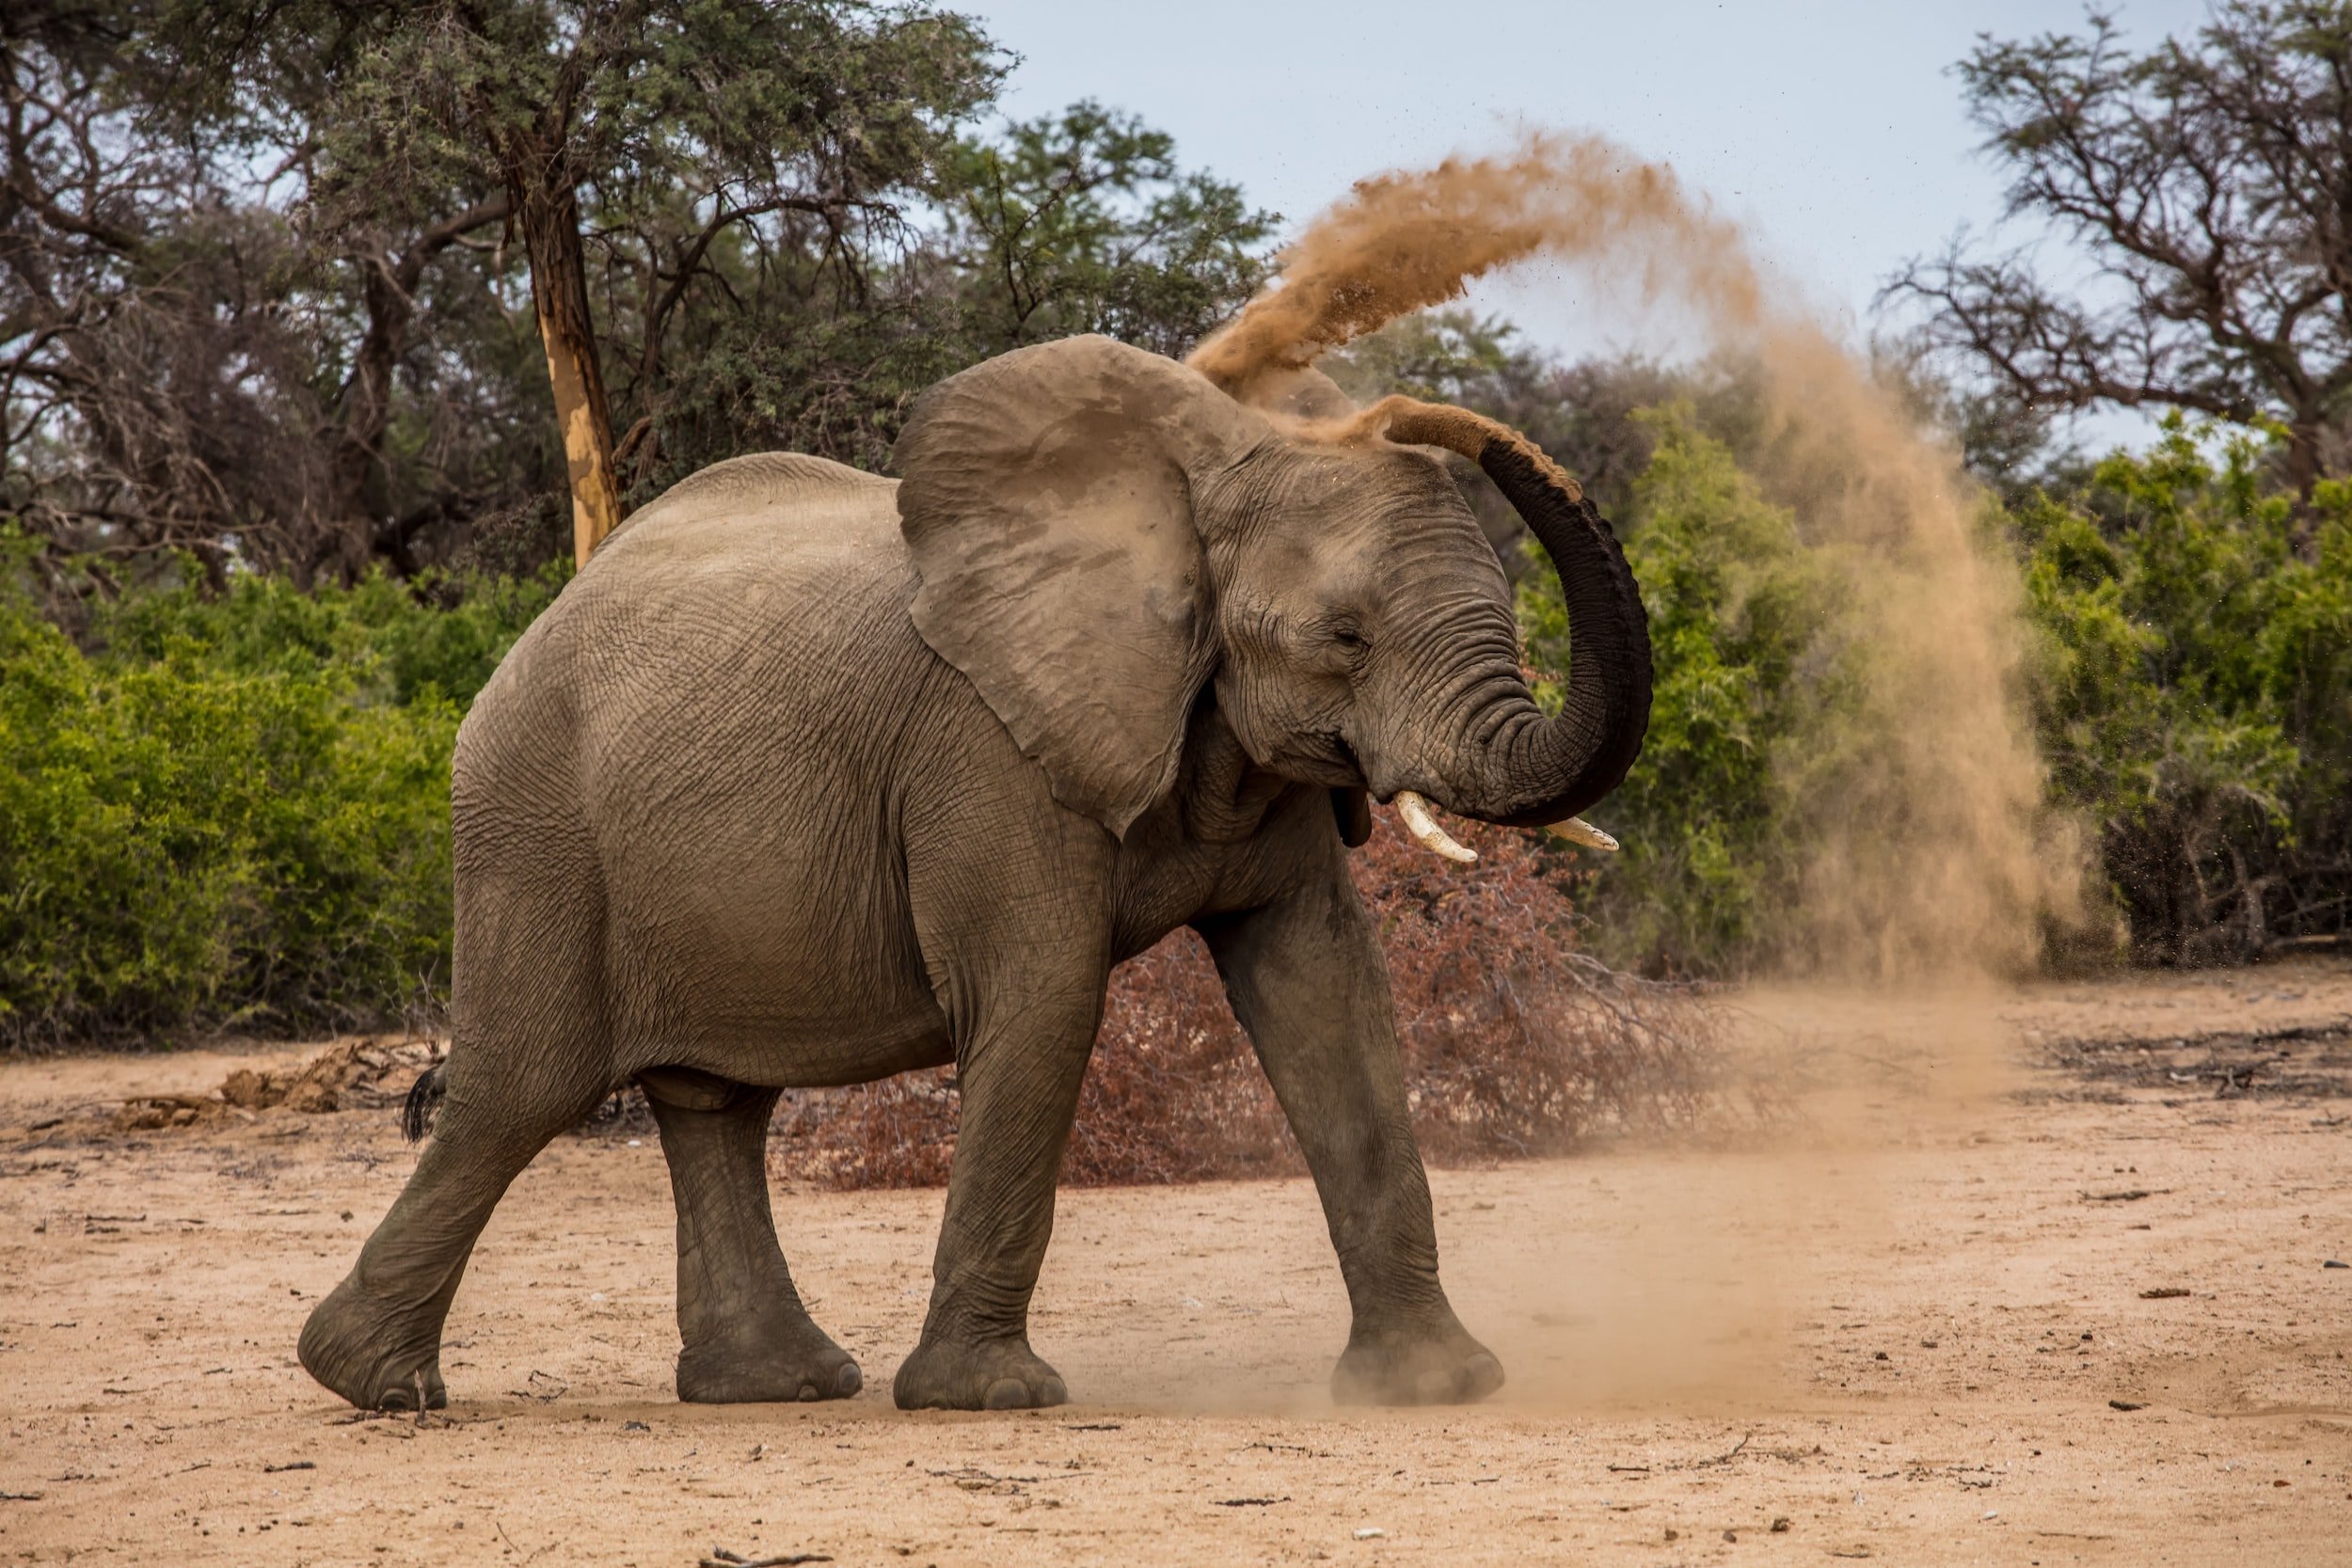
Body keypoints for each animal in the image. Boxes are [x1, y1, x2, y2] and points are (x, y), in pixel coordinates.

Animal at [296, 334, 1651, 1414]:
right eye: (1345, 637)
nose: (1406, 412)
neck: (1195, 477)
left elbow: (1328, 993)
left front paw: (1438, 1385)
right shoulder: (987, 749)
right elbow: (1045, 997)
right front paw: (990, 1398)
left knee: (712, 1104)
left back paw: (778, 1384)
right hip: (533, 826)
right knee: (519, 1091)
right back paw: (375, 1385)